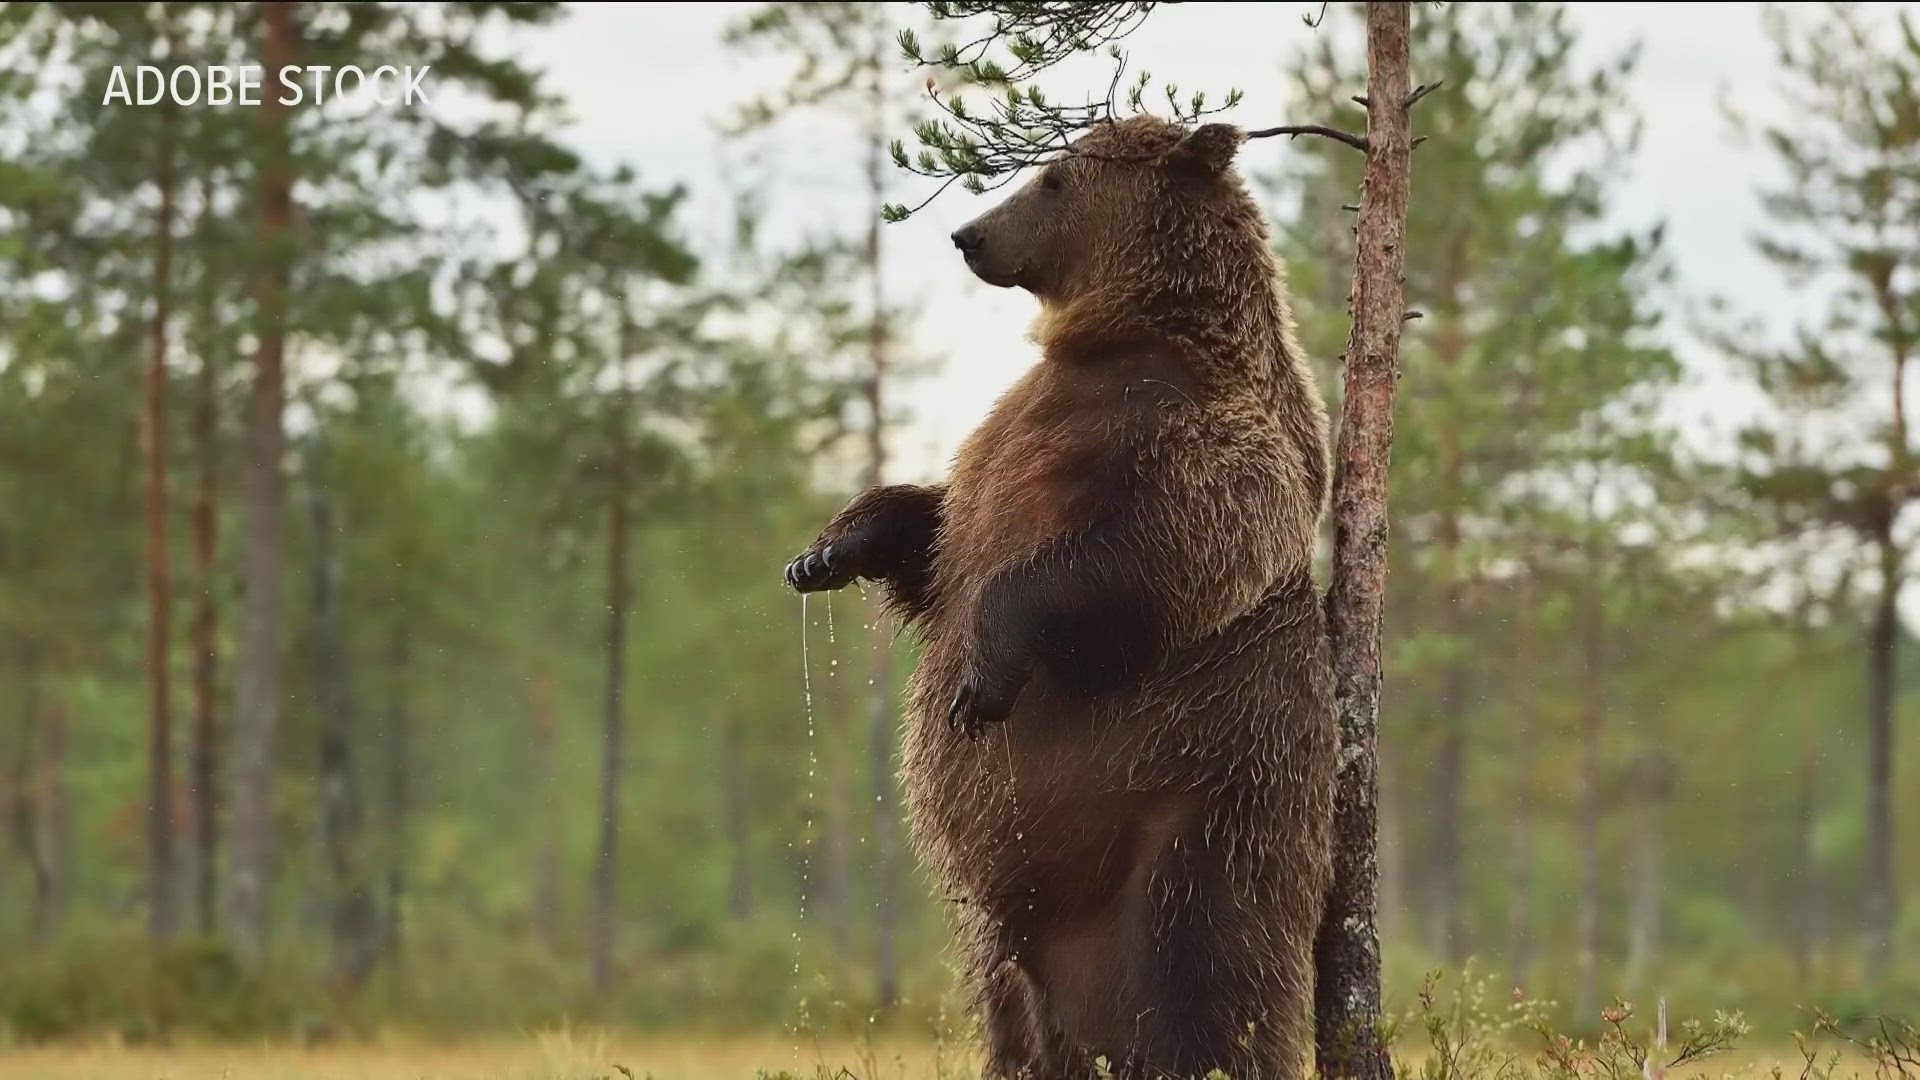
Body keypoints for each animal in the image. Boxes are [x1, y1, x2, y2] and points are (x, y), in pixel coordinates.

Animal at [779, 111, 1336, 1076]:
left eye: (1053, 180)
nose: (968, 235)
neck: (1125, 337)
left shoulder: (1204, 440)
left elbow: (1148, 551)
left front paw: (980, 681)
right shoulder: (1009, 440)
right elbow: (935, 532)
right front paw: (828, 551)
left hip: (1204, 810)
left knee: (1209, 968)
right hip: (1004, 946)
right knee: (1014, 1019)